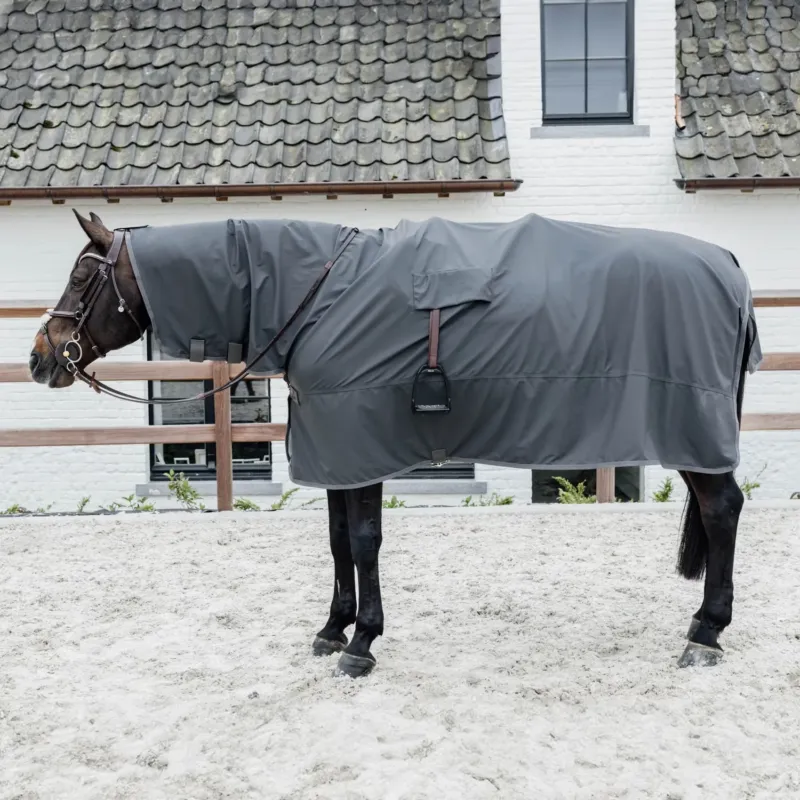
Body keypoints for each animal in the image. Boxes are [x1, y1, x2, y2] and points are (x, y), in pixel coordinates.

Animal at [29, 210, 756, 677]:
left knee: (722, 511)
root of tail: (729, 264)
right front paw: (333, 629)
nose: (40, 357)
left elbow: (363, 542)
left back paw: (708, 634)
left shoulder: (361, 446)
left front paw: (362, 644)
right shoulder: (334, 450)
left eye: (81, 277)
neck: (314, 297)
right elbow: (336, 542)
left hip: (692, 431)